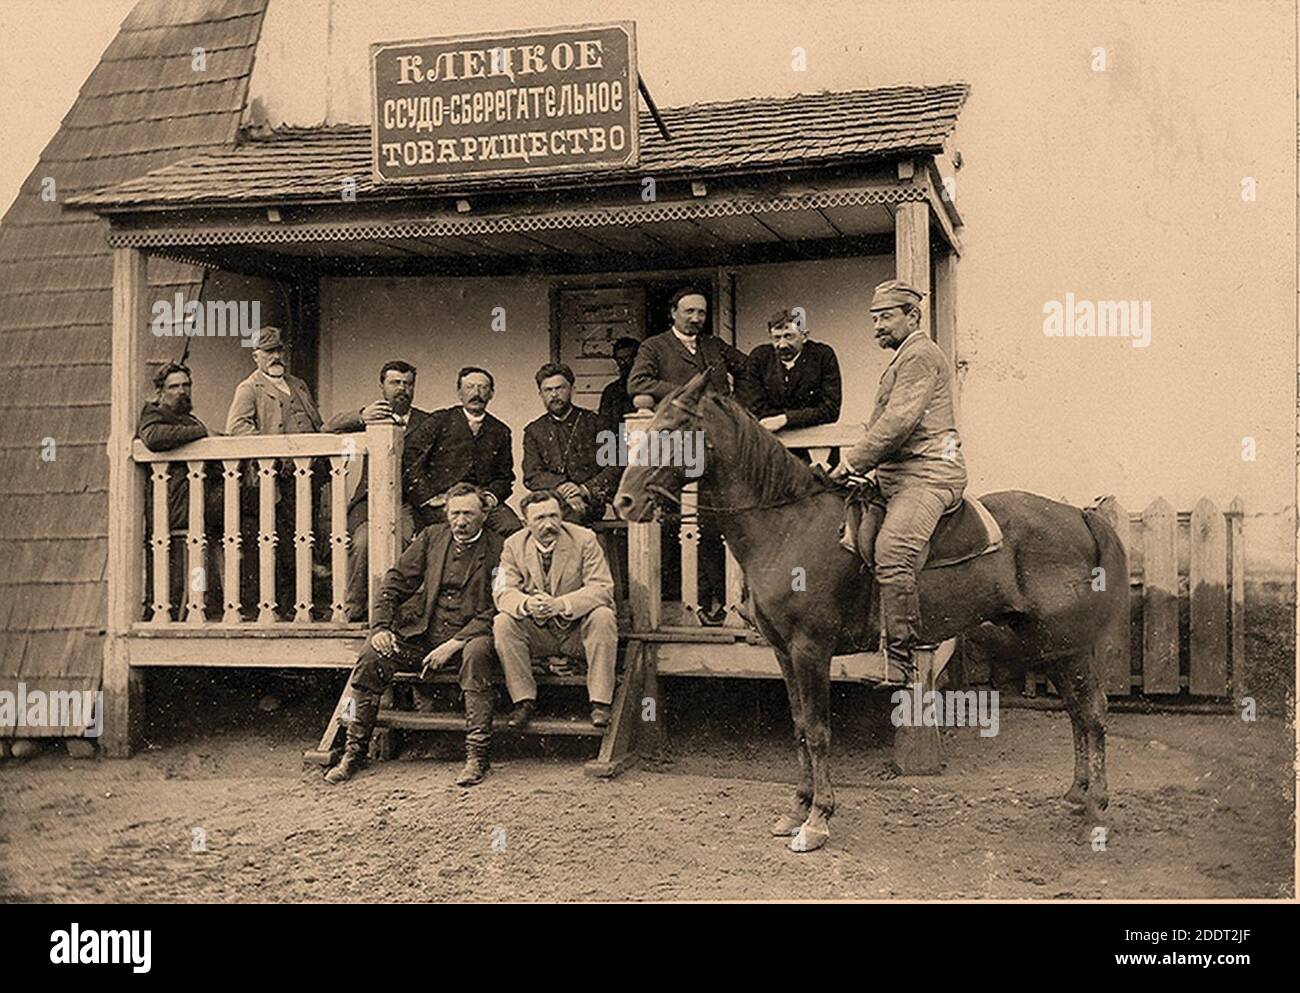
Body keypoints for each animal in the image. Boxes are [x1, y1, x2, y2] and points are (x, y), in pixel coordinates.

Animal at [611, 371, 1128, 852]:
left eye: (675, 427)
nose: (624, 501)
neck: (787, 524)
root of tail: (1080, 515)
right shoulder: (783, 653)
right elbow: (800, 728)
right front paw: (796, 808)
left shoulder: (811, 650)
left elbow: (819, 730)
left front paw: (817, 819)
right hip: (1051, 646)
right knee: (1077, 713)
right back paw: (1077, 795)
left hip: (1069, 647)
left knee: (1093, 714)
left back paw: (1096, 812)